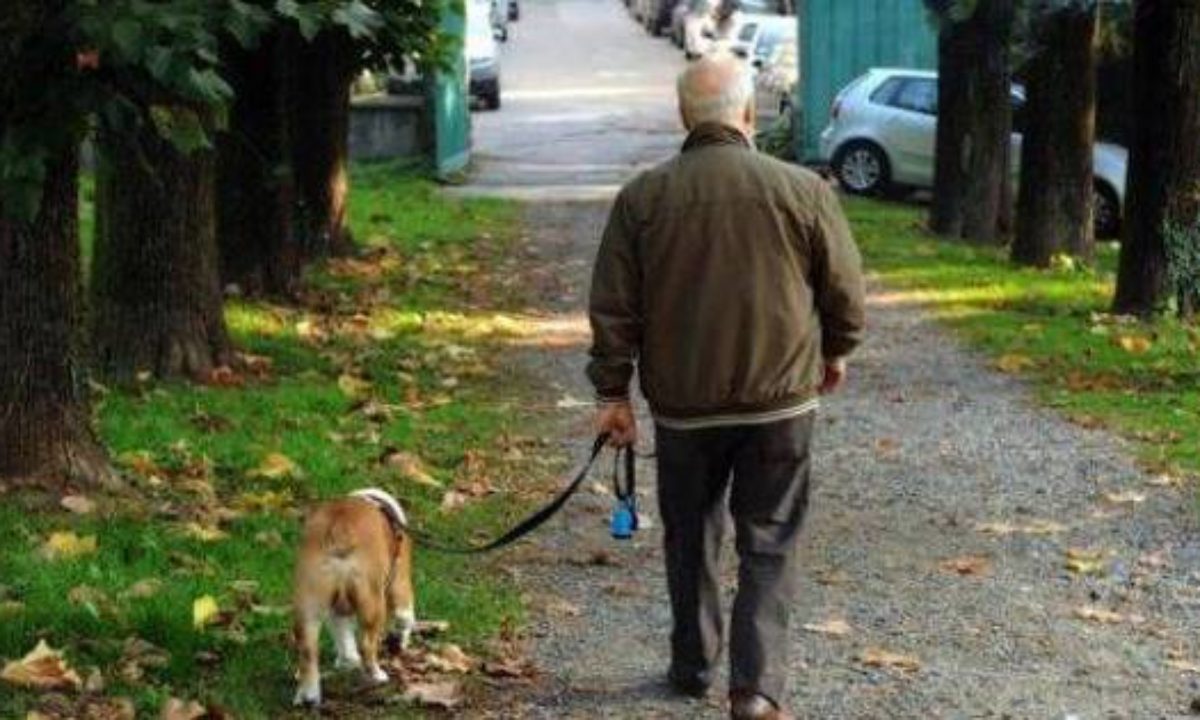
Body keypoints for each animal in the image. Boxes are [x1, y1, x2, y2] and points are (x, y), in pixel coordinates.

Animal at [291, 487, 417, 705]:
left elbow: (343, 636)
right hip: (373, 602)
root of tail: (340, 528)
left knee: (308, 651)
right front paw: (399, 640)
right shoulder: (400, 583)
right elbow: (405, 617)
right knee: (367, 644)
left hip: (309, 602)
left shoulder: (338, 611)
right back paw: (377, 675)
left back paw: (308, 695)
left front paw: (346, 661)